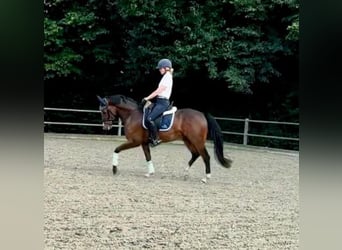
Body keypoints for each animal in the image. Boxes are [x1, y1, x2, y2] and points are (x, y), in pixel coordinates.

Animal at [96, 94, 232, 183]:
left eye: (104, 111)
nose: (105, 127)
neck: (132, 114)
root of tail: (202, 114)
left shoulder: (134, 142)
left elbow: (117, 149)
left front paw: (114, 169)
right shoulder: (144, 143)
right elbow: (148, 157)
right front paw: (150, 173)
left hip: (197, 141)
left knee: (205, 156)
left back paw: (206, 178)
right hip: (188, 140)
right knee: (195, 154)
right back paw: (185, 173)